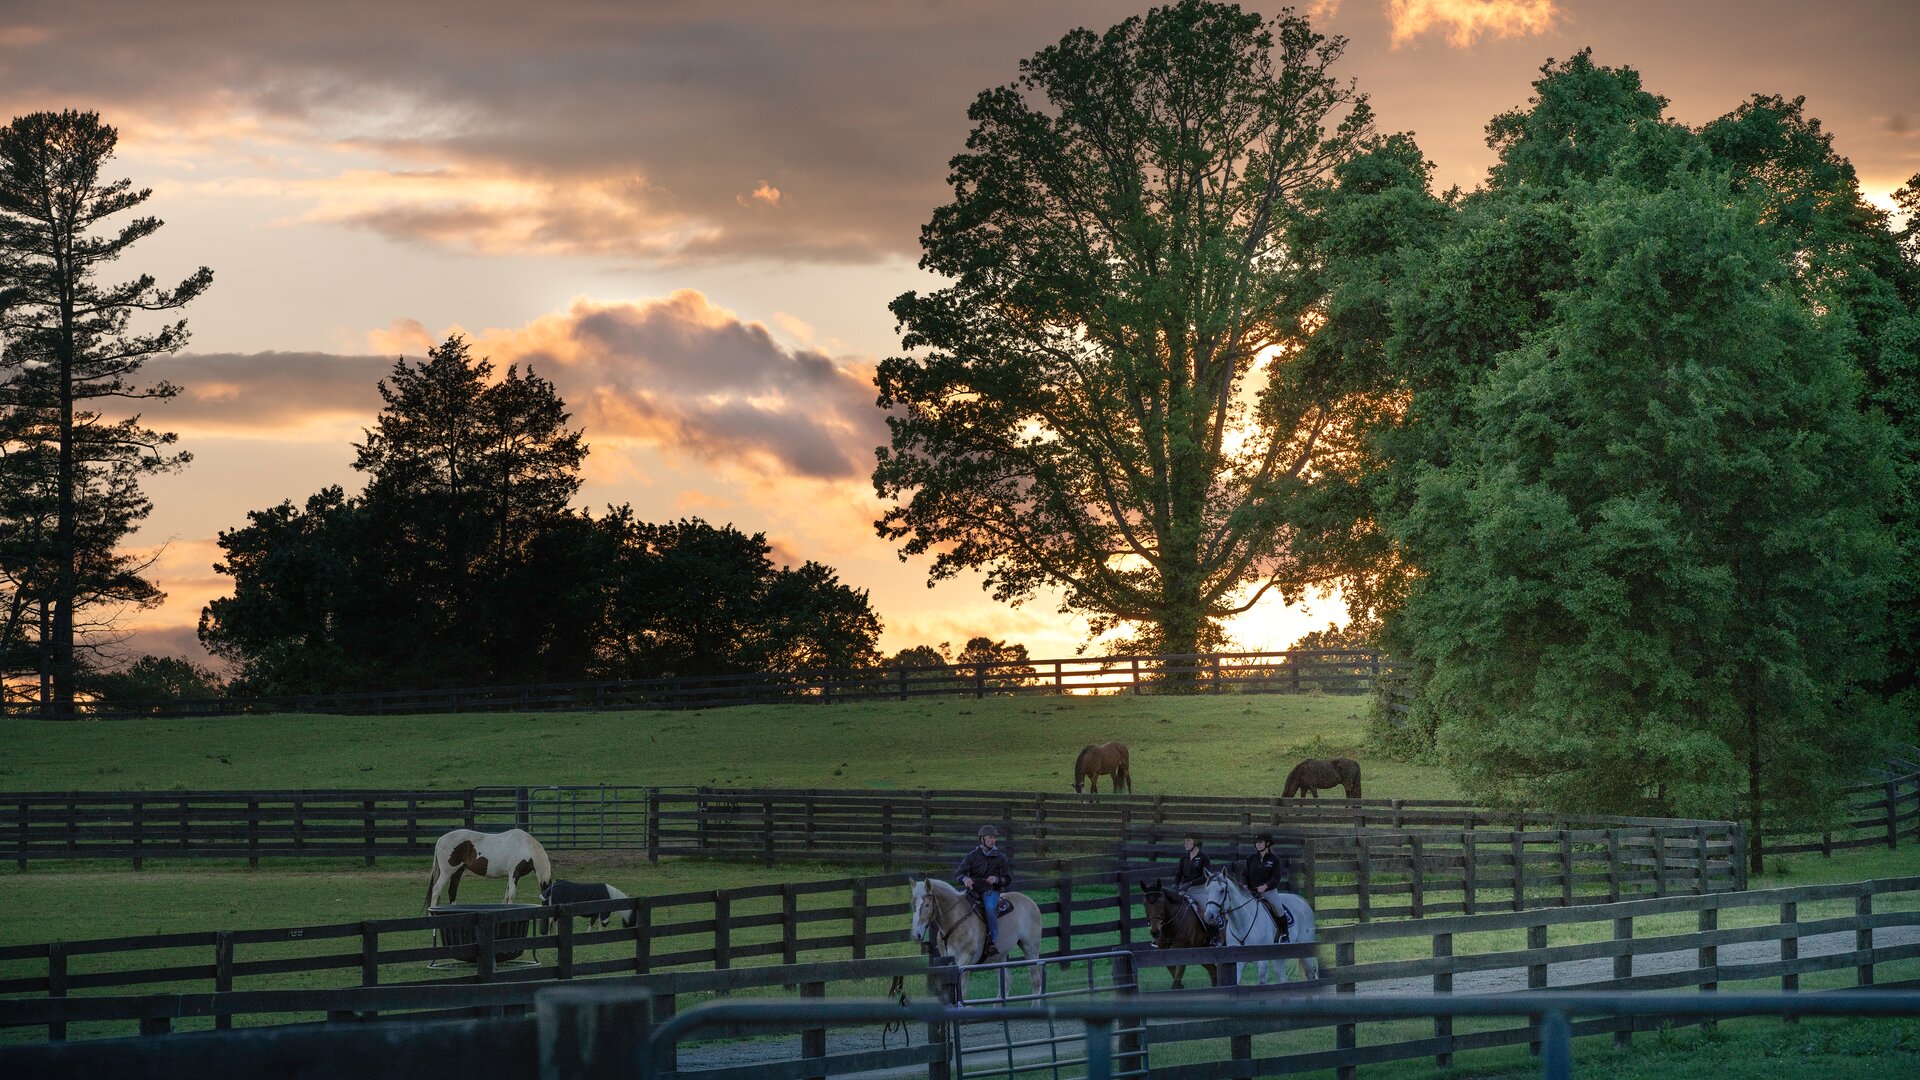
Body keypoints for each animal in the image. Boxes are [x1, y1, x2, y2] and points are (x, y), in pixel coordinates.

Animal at [424, 822, 552, 907]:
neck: (524, 847)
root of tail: (440, 839)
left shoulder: (512, 876)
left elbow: (506, 895)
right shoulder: (514, 874)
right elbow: (511, 895)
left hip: (458, 871)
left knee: (452, 892)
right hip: (447, 872)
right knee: (436, 890)